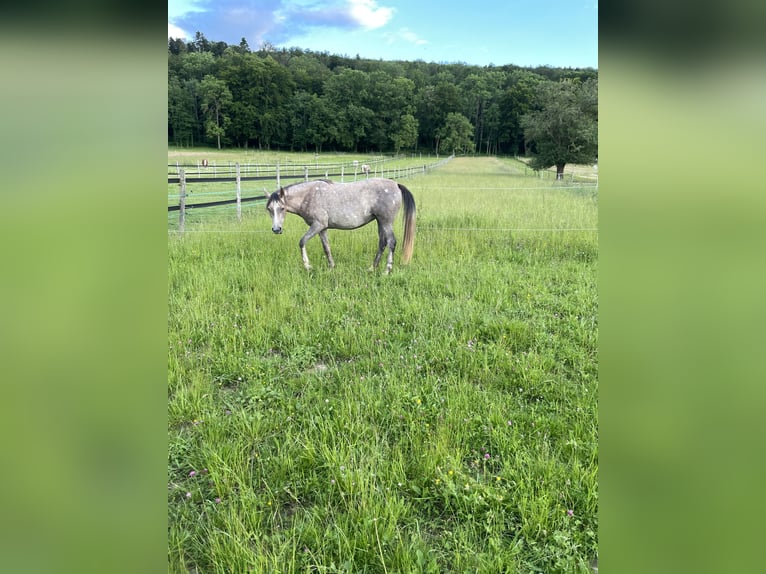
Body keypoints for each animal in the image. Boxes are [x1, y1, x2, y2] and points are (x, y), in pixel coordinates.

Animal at [268, 178, 416, 274]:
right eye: (269, 209)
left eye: (282, 208)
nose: (276, 229)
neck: (309, 195)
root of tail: (396, 184)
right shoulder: (322, 228)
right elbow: (326, 248)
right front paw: (331, 267)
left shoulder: (317, 225)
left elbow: (302, 242)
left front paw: (307, 266)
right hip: (380, 222)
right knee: (382, 243)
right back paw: (372, 268)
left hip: (386, 222)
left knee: (391, 242)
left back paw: (386, 270)